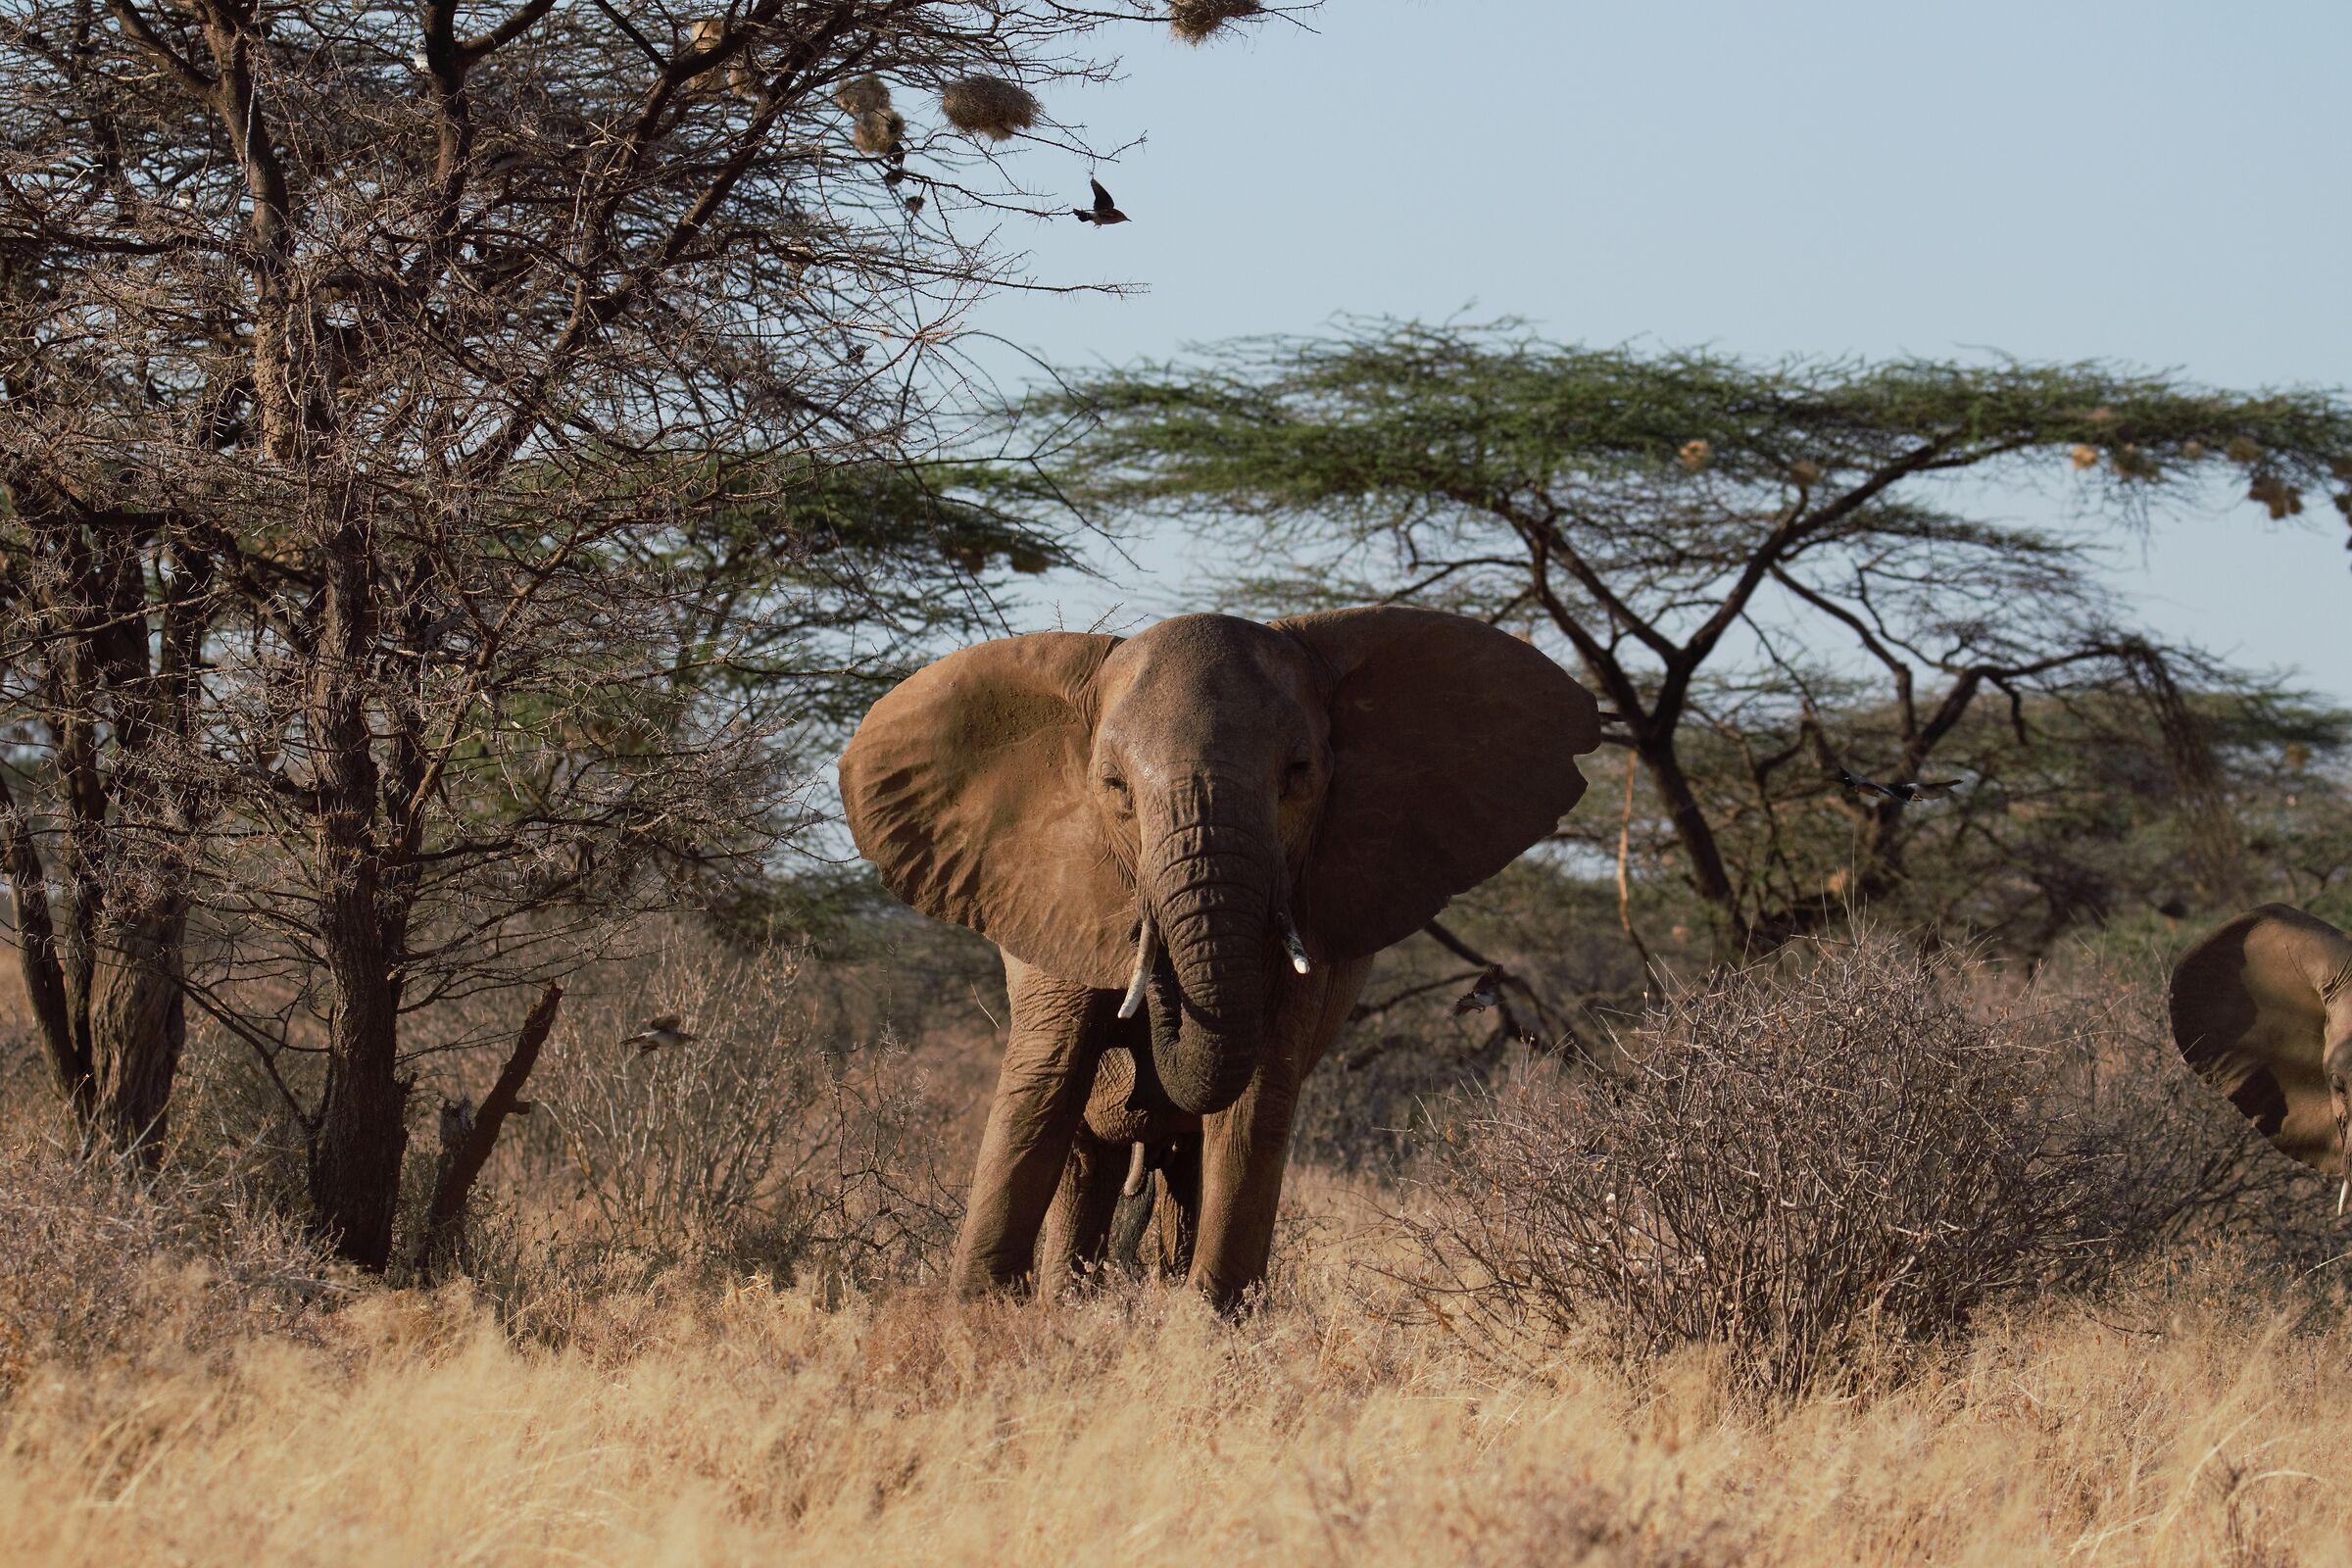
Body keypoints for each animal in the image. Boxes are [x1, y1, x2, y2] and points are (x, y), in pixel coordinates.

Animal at [839, 608, 1601, 1307]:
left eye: (1298, 773)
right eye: (1114, 788)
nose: (1152, 961)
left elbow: (1255, 1098)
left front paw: (1210, 1320)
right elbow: (1044, 1084)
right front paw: (980, 1315)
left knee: (1186, 1163)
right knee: (1088, 1158)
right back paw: (1068, 1298)